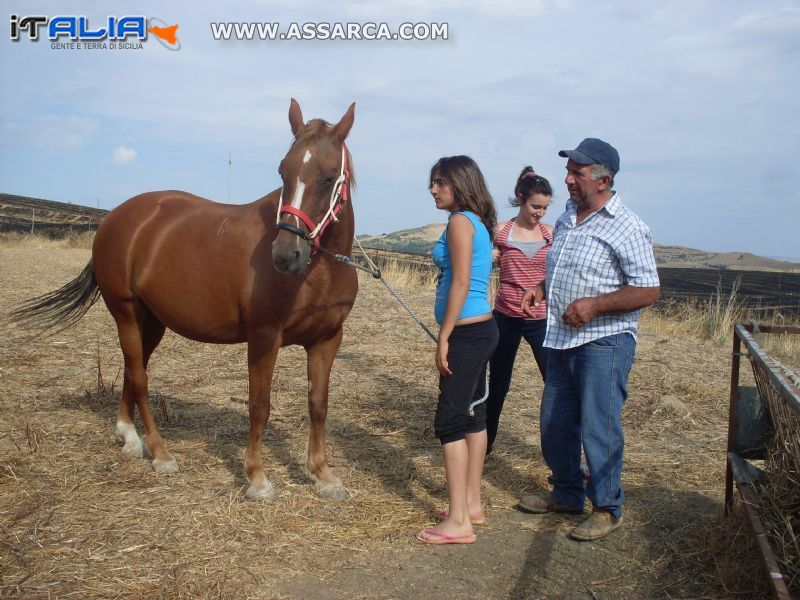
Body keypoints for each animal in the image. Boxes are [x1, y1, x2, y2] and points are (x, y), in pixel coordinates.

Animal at [10, 99, 356, 502]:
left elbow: (318, 404)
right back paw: (160, 454)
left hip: (152, 321)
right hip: (125, 313)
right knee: (140, 378)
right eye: (283, 171)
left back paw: (129, 437)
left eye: (329, 177)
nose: (286, 255)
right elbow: (259, 405)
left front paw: (323, 474)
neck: (320, 271)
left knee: (133, 370)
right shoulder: (264, 338)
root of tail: (116, 217)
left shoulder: (327, 340)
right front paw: (256, 478)